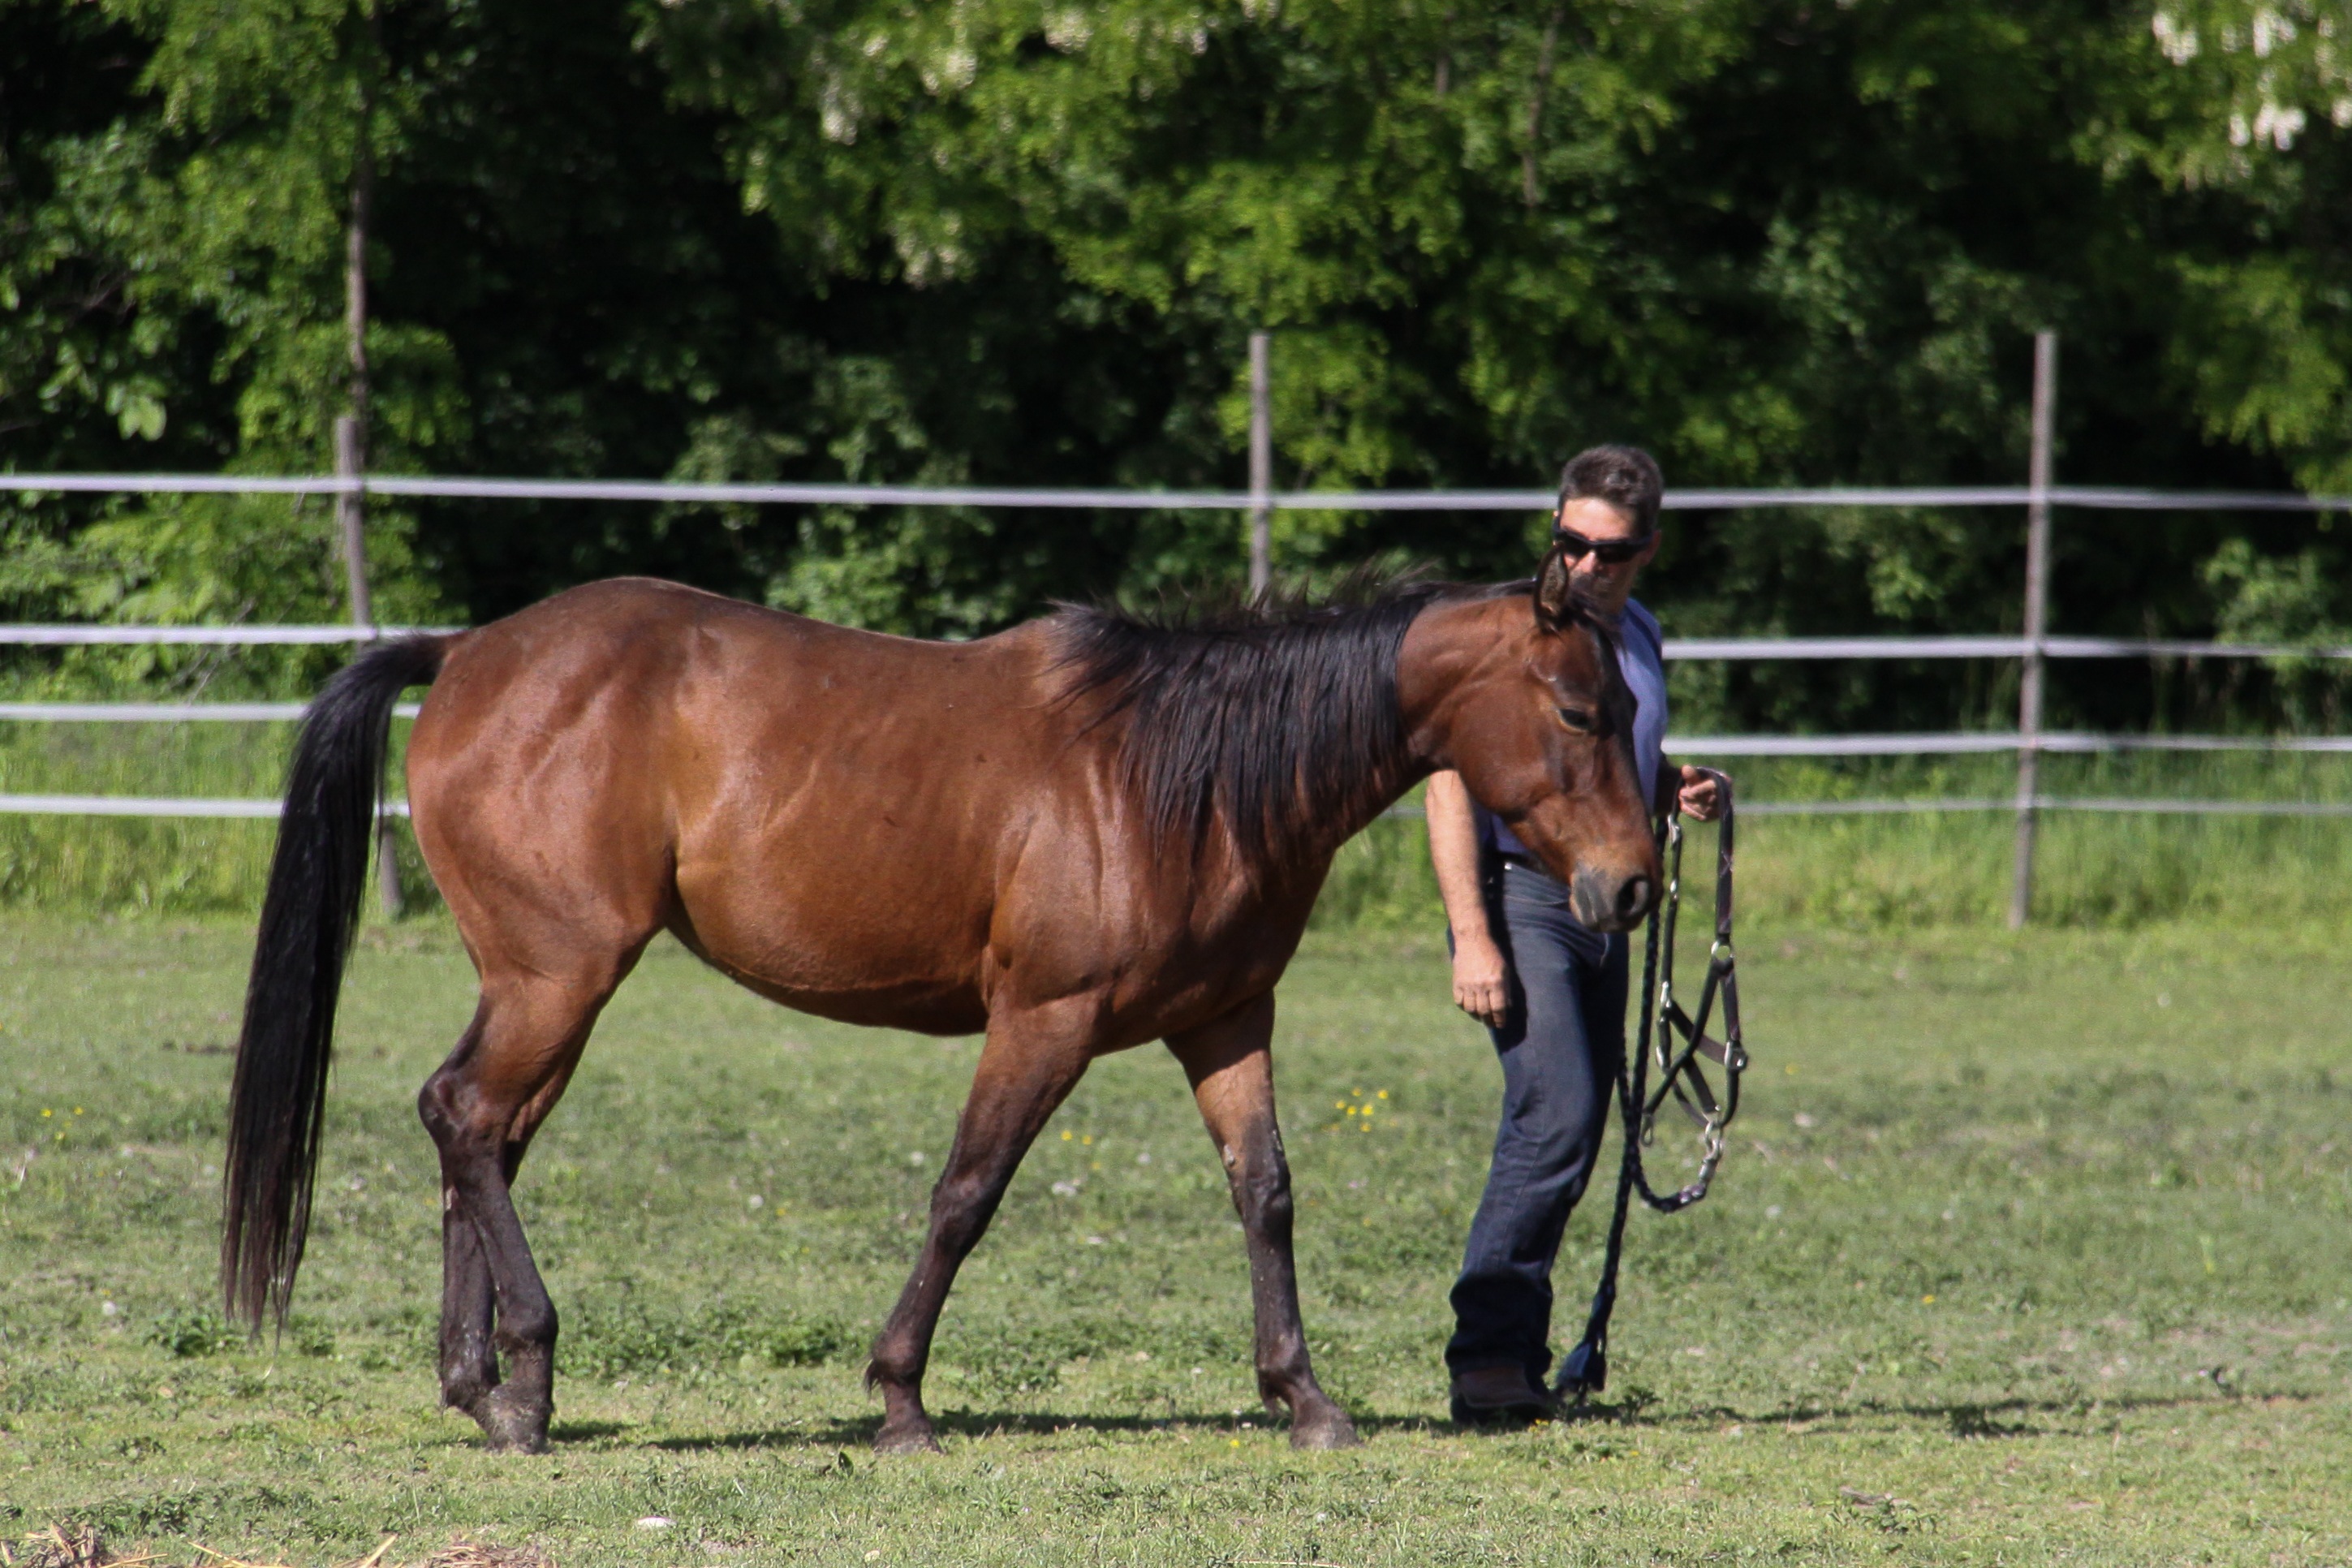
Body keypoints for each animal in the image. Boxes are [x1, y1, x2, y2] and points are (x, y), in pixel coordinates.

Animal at [216, 543, 1656, 1457]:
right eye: (1579, 711)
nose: (1634, 887)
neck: (1172, 773)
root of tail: (467, 652)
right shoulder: (1045, 1022)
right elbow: (967, 1195)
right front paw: (901, 1401)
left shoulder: (1225, 1019)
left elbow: (1267, 1196)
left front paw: (1303, 1399)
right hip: (559, 978)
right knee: (467, 1119)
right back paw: (519, 1376)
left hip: (538, 986)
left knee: (478, 1135)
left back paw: (489, 1392)